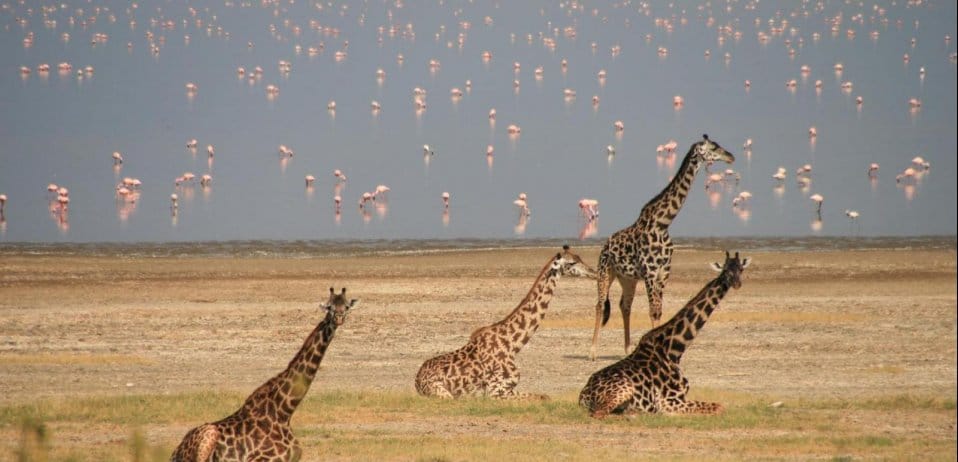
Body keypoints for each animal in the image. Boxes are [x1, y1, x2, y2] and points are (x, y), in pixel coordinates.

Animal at [171, 286, 358, 460]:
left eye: (346, 306)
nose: (339, 317)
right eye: (329, 307)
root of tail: (176, 451)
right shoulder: (258, 459)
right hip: (207, 435)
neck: (284, 412)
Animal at [416, 247, 596, 398]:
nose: (593, 272)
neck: (513, 346)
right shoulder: (496, 391)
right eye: (572, 262)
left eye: (579, 257)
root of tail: (416, 381)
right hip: (444, 393)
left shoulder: (509, 388)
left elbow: (544, 396)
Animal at [580, 251, 752, 416]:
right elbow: (719, 408)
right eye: (726, 270)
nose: (737, 283)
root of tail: (583, 396)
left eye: (740, 269)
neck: (675, 349)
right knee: (600, 413)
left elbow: (720, 406)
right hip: (624, 390)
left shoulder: (681, 397)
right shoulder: (667, 401)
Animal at [588, 134, 740, 360]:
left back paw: (627, 350)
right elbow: (653, 311)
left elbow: (659, 311)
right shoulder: (651, 273)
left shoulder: (663, 273)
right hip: (605, 271)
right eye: (713, 148)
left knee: (625, 305)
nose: (731, 156)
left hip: (628, 278)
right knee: (600, 304)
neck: (662, 223)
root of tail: (605, 245)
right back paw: (592, 352)